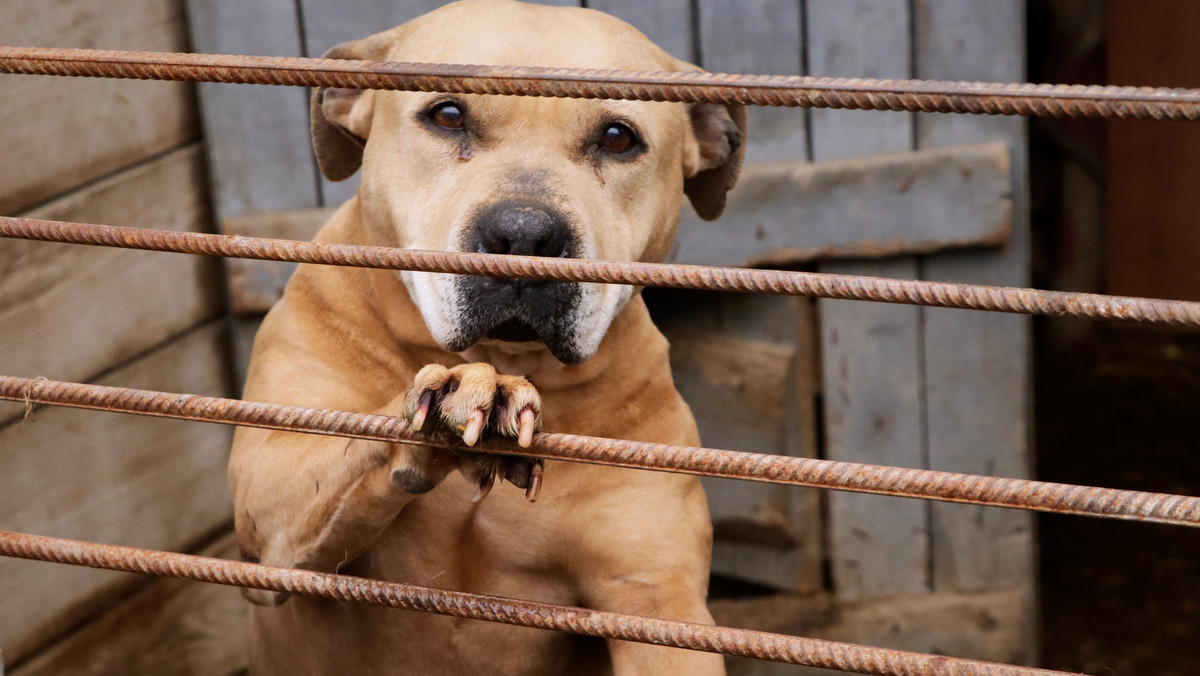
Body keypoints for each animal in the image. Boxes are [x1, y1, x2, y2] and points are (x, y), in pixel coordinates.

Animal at [229, 2, 744, 672]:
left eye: (617, 137)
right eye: (447, 116)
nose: (524, 234)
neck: (505, 353)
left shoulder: (657, 607)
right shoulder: (270, 516)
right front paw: (464, 394)